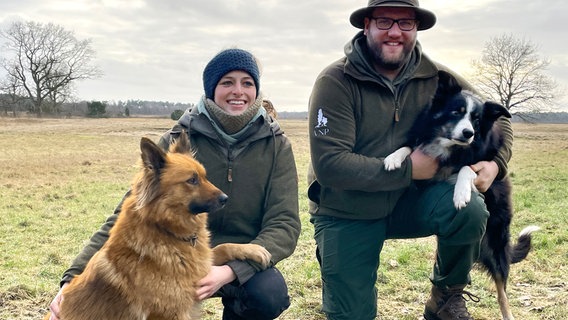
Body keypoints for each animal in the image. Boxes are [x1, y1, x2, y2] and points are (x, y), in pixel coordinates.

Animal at [45, 134, 272, 318]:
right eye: (192, 180)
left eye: (204, 176)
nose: (226, 198)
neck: (166, 230)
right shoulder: (168, 313)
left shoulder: (201, 263)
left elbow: (223, 247)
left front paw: (253, 250)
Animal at [384, 72, 540, 320]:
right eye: (456, 112)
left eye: (476, 119)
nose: (469, 134)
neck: (449, 144)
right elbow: (409, 147)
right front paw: (393, 158)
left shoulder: (479, 160)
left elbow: (468, 168)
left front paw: (461, 194)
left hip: (496, 246)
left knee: (502, 292)